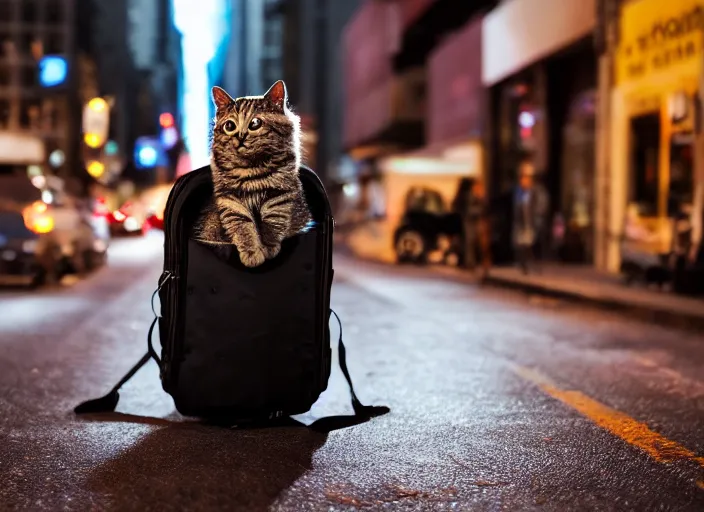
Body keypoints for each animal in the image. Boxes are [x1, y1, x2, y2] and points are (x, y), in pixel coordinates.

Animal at [192, 80, 314, 268]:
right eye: (229, 126)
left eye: (255, 123)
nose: (240, 137)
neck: (251, 169)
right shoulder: (230, 201)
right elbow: (244, 227)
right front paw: (252, 253)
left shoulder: (280, 196)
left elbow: (272, 222)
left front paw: (269, 247)